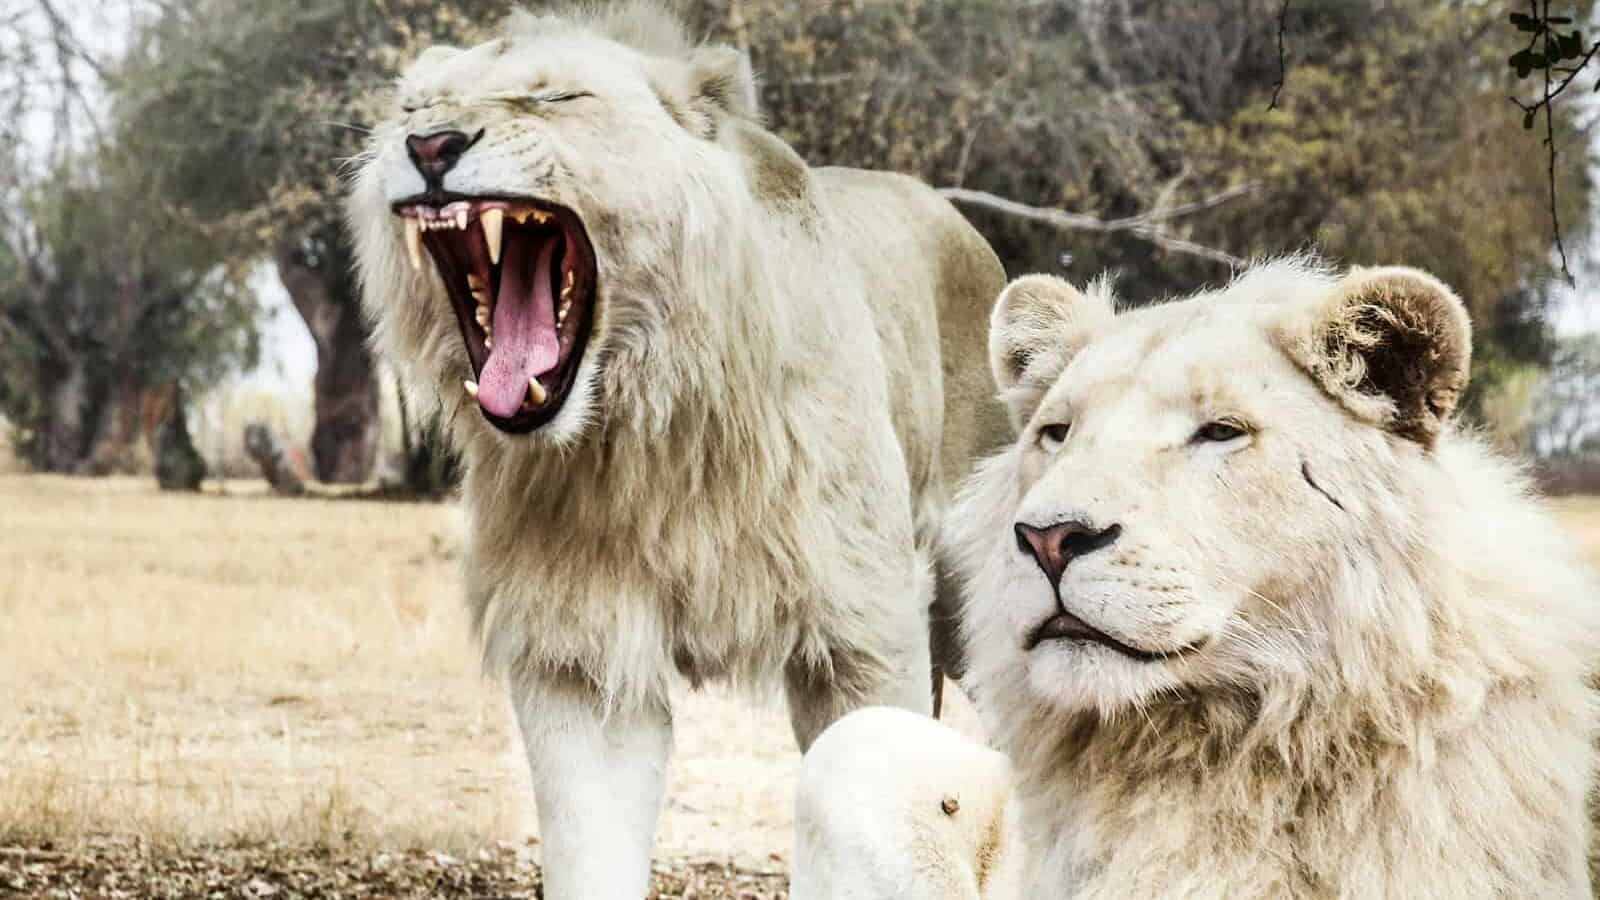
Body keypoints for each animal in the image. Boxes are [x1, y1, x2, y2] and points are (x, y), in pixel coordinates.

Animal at [345, 4, 1005, 896]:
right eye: (414, 107)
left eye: (556, 96)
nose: (429, 146)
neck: (648, 430)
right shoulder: (579, 654)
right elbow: (591, 848)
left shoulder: (865, 629)